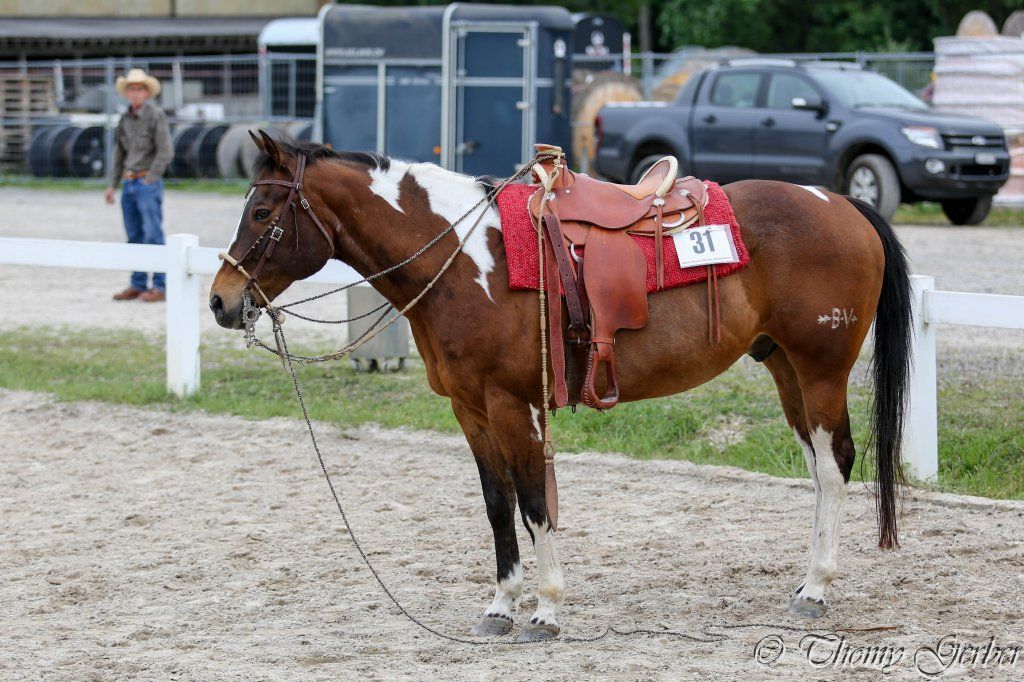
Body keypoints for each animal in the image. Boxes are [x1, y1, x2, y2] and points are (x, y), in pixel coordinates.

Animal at [209, 131, 911, 642]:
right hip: (785, 367)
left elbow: (532, 502)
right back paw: (806, 582)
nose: (220, 301)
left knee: (835, 466)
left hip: (820, 370)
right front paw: (500, 606)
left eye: (263, 212)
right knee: (820, 467)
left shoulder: (509, 404)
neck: (462, 258)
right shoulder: (470, 410)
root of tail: (841, 203)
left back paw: (817, 587)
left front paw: (545, 609)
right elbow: (497, 506)